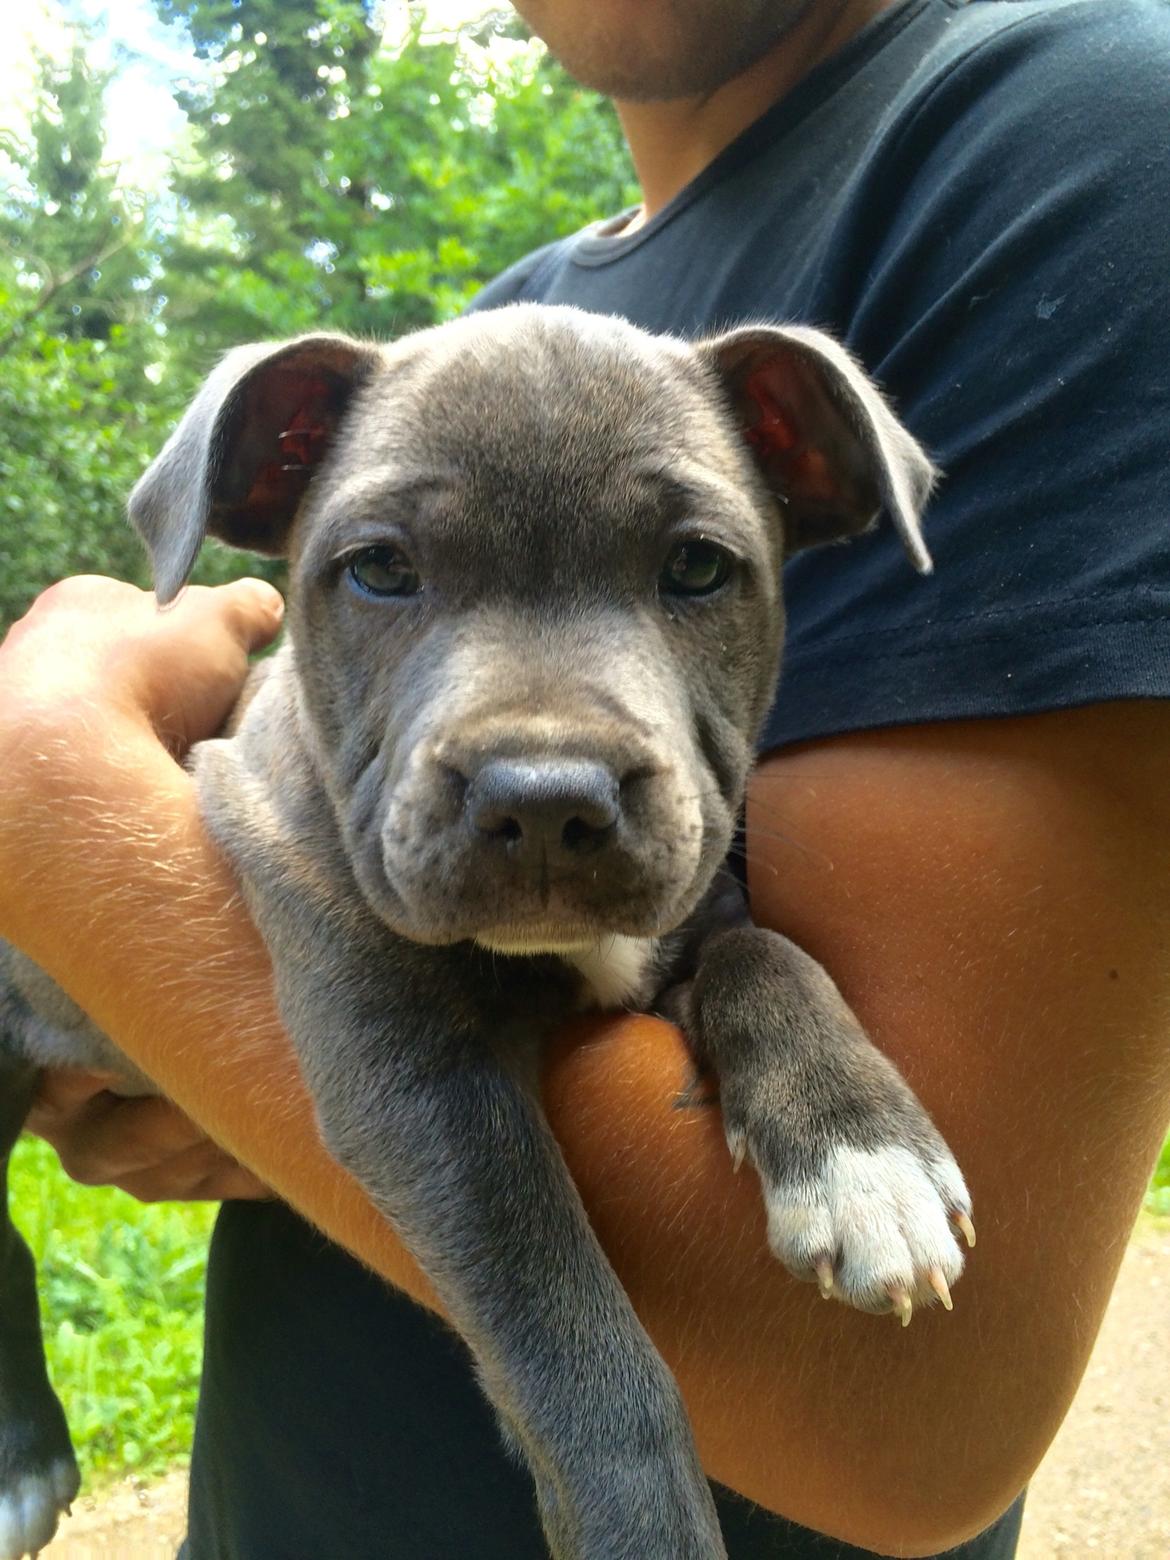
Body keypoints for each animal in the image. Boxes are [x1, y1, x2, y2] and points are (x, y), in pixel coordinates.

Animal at [0, 304, 973, 1560]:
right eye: (380, 570)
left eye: (698, 568)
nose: (548, 801)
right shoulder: (415, 1079)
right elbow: (571, 1343)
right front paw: (642, 1530)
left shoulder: (693, 913)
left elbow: (773, 957)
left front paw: (864, 1153)